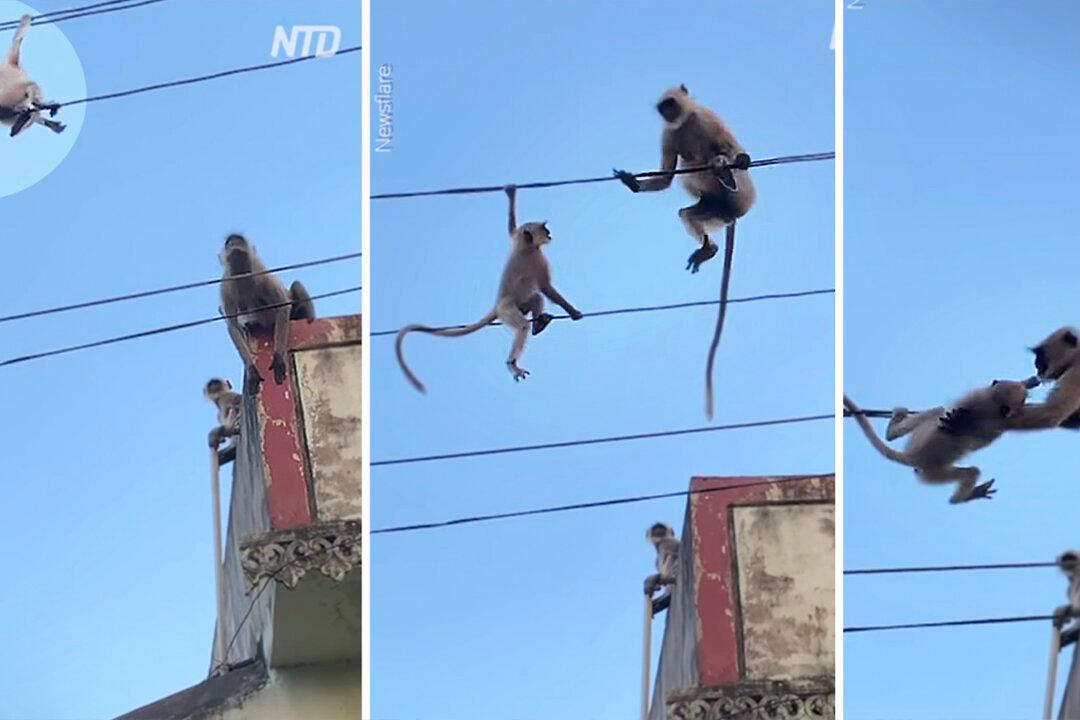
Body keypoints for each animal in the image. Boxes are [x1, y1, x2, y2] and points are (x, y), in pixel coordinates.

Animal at [219, 234, 316, 392]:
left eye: (239, 240)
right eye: (229, 243)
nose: (234, 243)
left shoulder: (261, 273)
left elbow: (282, 307)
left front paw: (278, 359)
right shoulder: (226, 286)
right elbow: (233, 326)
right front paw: (252, 370)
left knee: (295, 285)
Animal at [395, 185, 583, 393]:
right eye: (544, 230)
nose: (550, 234)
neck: (525, 247)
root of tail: (497, 305)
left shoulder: (518, 239)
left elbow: (511, 229)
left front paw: (511, 193)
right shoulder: (536, 259)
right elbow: (547, 288)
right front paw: (574, 312)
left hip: (518, 306)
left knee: (535, 298)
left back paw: (538, 325)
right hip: (507, 311)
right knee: (524, 324)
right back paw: (513, 362)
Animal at [613, 86, 755, 419]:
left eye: (671, 104)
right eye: (663, 109)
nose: (668, 113)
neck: (685, 121)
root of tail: (732, 214)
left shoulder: (707, 116)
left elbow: (731, 145)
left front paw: (738, 157)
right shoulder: (669, 134)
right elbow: (666, 177)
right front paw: (632, 184)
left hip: (744, 195)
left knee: (718, 158)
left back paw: (727, 172)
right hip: (711, 208)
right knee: (688, 208)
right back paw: (709, 247)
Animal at [844, 379, 1031, 504]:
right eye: (1022, 399)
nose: (1026, 391)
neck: (989, 403)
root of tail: (913, 456)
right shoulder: (993, 425)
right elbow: (980, 441)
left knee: (937, 411)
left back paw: (892, 431)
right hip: (933, 473)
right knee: (971, 472)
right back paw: (962, 498)